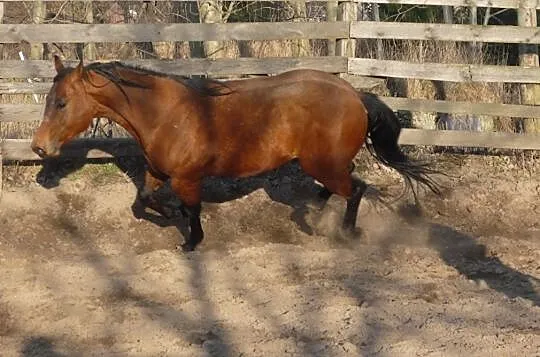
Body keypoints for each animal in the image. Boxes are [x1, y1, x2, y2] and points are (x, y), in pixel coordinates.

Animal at [30, 56, 442, 250]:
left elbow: (192, 210)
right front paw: (168, 216)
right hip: (326, 162)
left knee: (356, 189)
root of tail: (355, 94)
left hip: (322, 163)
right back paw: (316, 208)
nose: (39, 147)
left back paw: (344, 231)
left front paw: (190, 241)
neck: (166, 115)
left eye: (62, 102)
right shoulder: (158, 172)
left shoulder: (187, 178)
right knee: (345, 182)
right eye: (49, 99)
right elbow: (144, 200)